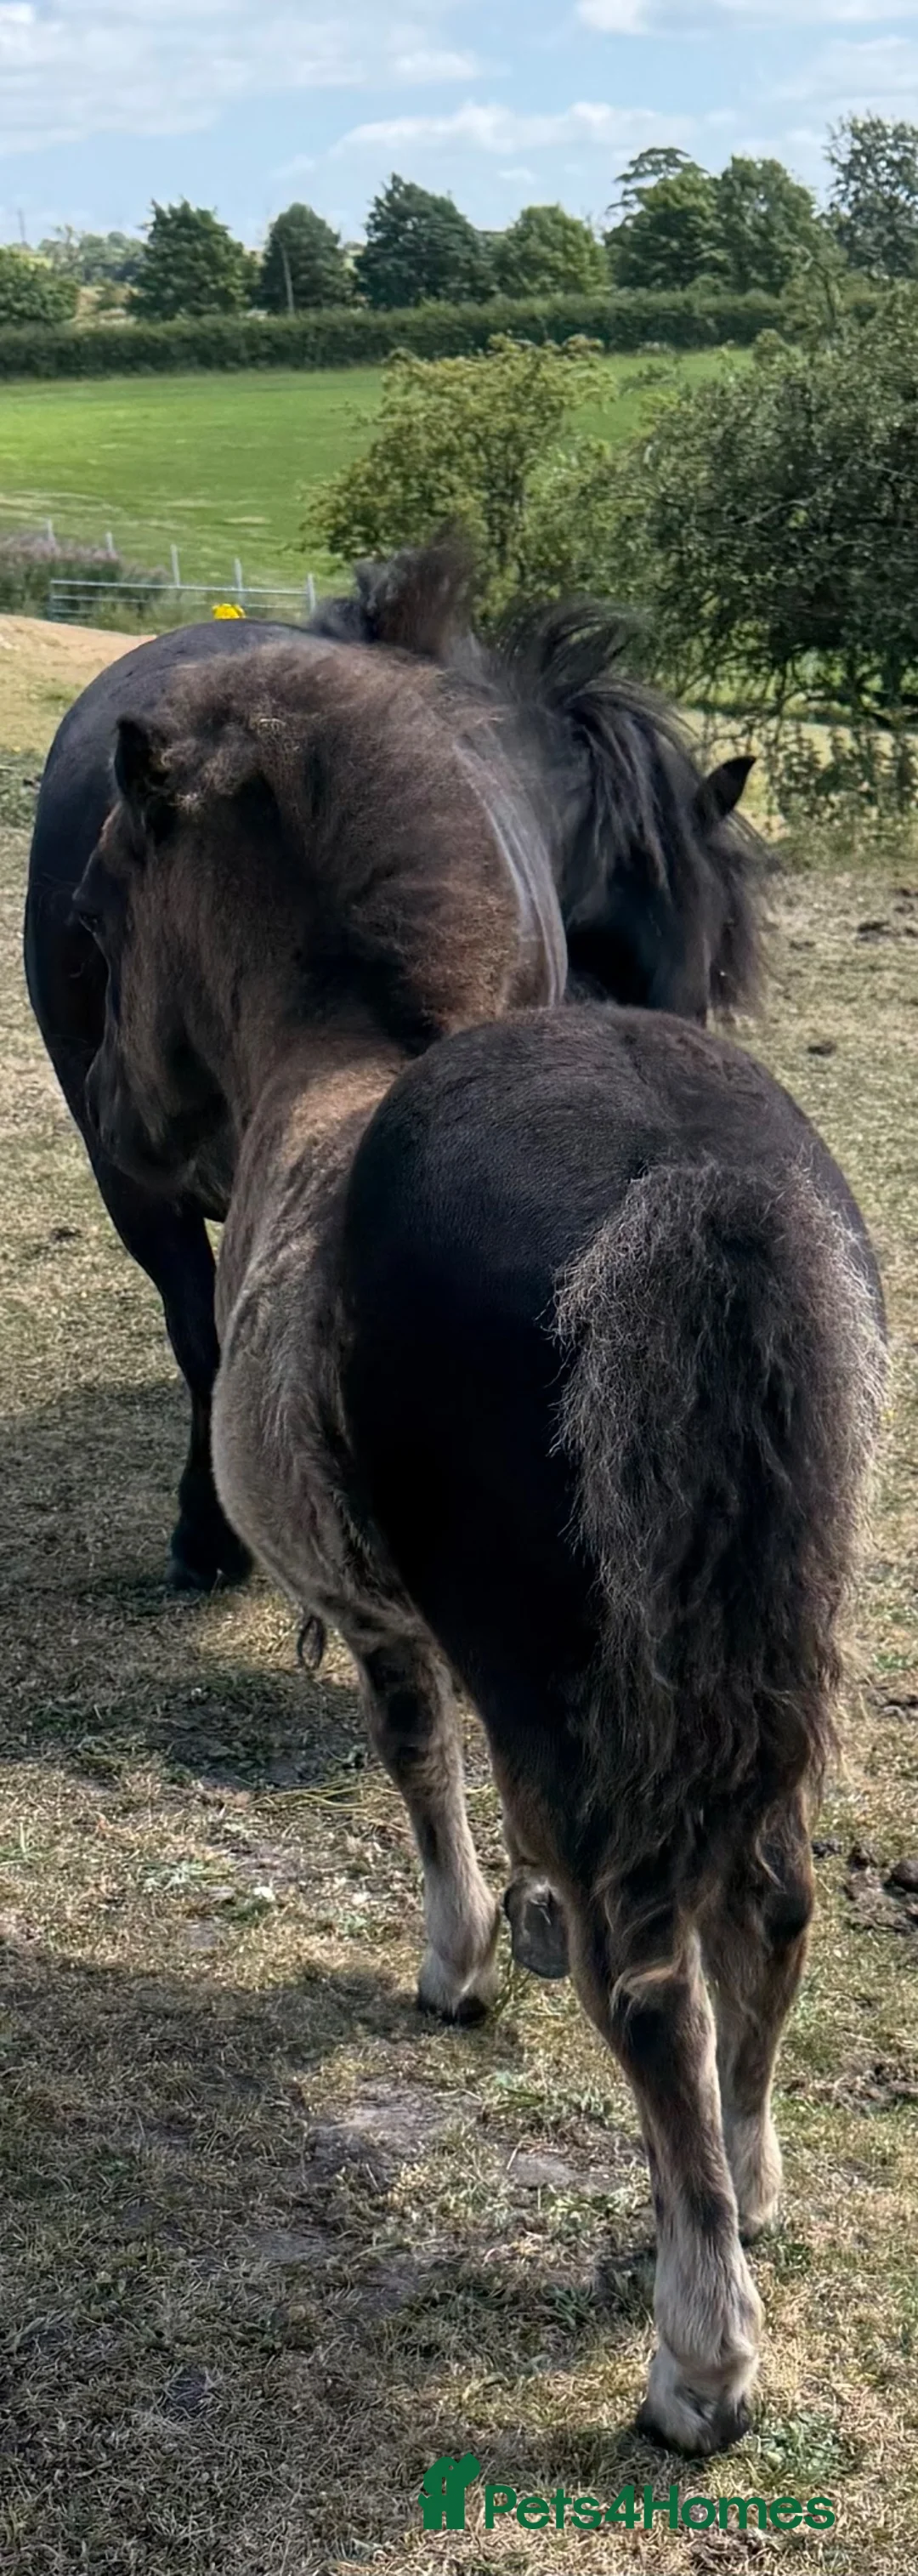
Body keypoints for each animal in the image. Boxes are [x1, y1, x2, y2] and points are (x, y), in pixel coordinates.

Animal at [74, 645, 884, 2453]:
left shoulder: (390, 1621)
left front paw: (455, 1963)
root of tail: (689, 1183)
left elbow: (413, 1757)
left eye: (105, 899)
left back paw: (698, 2353)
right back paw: (749, 2182)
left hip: (568, 1686)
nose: (115, 1117)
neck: (329, 1063)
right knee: (776, 1903)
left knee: (652, 1981)